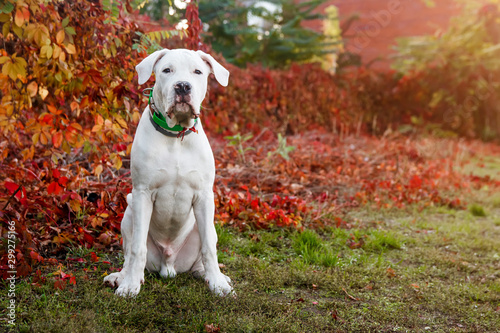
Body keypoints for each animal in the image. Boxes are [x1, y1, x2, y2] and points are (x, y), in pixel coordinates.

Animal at [104, 48, 233, 296]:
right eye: (167, 70)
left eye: (197, 71)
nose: (182, 86)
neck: (176, 135)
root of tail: (168, 265)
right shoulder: (143, 194)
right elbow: (137, 249)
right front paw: (130, 285)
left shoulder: (204, 196)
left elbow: (209, 248)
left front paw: (218, 284)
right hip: (129, 211)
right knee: (129, 254)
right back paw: (122, 277)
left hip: (204, 225)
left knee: (206, 247)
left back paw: (209, 275)